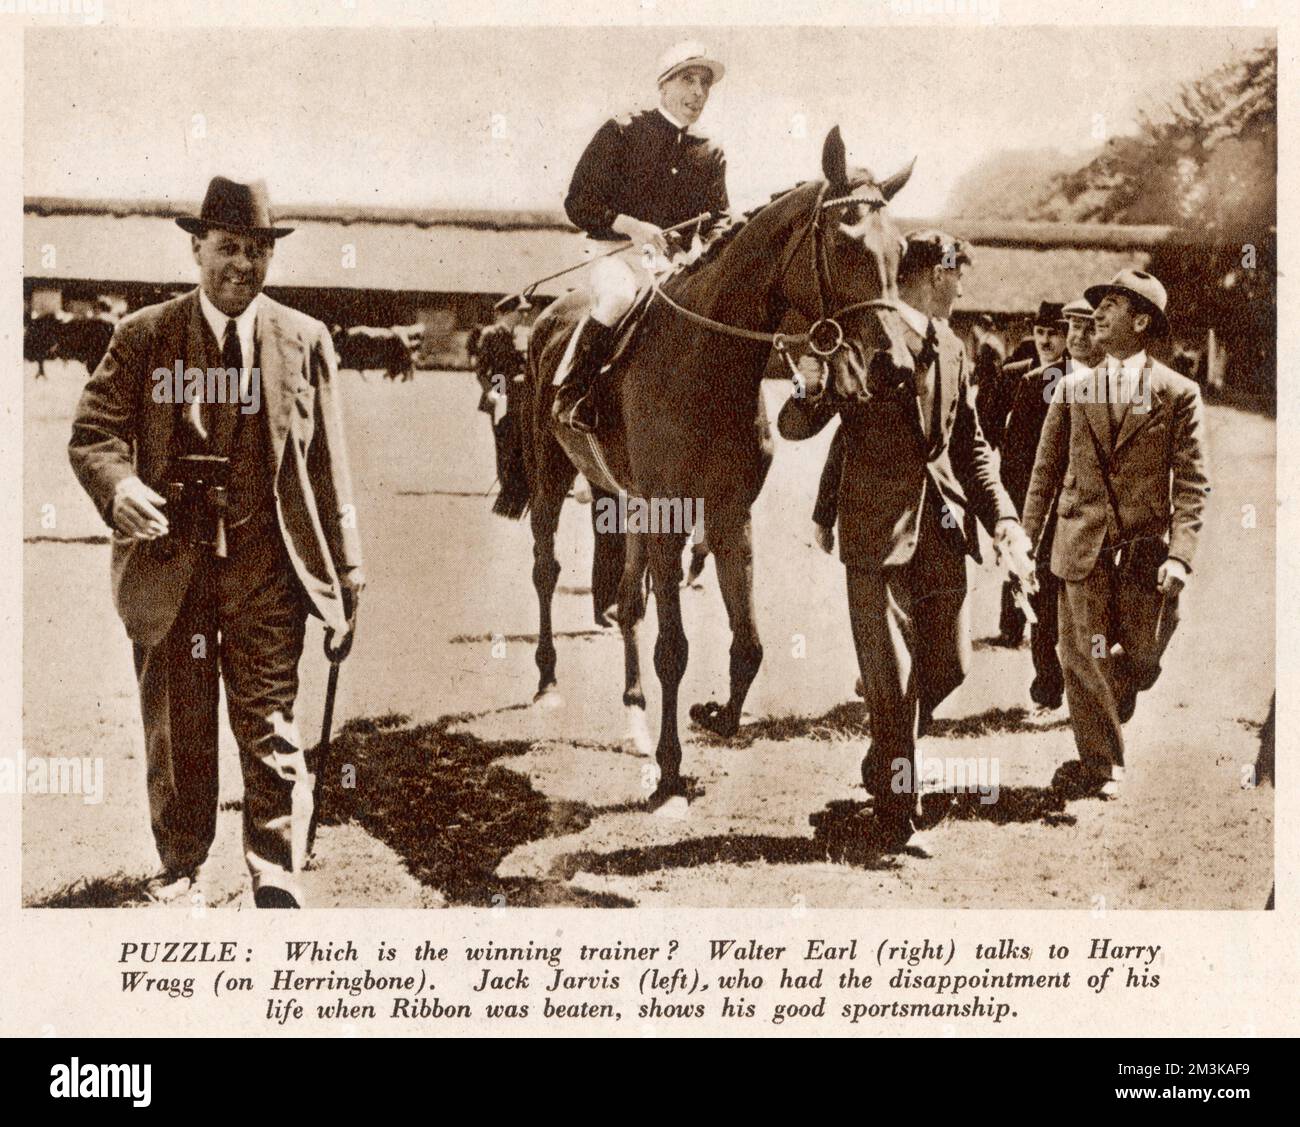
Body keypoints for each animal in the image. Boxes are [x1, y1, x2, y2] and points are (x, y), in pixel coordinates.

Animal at [496, 125, 915, 811]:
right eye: (844, 242)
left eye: (901, 251)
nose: (897, 367)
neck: (705, 360)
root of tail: (551, 314)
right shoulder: (672, 514)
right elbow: (674, 648)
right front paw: (669, 773)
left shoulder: (727, 513)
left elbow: (748, 644)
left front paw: (716, 716)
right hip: (553, 478)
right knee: (545, 570)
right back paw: (548, 682)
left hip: (627, 502)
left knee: (627, 600)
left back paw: (634, 709)